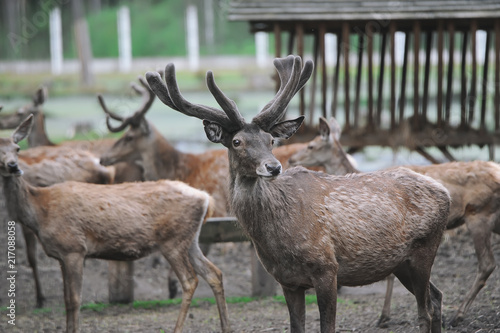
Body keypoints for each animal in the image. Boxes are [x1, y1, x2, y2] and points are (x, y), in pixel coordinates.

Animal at [0, 115, 230, 332]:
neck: (39, 212)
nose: (13, 166)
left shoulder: (74, 248)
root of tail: (205, 198)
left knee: (190, 280)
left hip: (173, 241)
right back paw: (225, 327)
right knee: (214, 273)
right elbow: (66, 300)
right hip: (191, 240)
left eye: (18, 148)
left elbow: (74, 300)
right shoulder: (60, 256)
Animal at [146, 55, 454, 330]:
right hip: (401, 263)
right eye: (236, 141)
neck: (279, 238)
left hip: (425, 247)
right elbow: (297, 326)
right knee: (437, 297)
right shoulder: (288, 280)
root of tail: (445, 192)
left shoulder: (327, 268)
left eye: (271, 140)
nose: (273, 166)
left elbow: (327, 326)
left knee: (426, 309)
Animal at [288, 115, 500, 326]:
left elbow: (390, 274)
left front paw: (384, 316)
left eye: (311, 145)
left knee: (487, 263)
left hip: (479, 214)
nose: (290, 159)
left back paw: (459, 314)